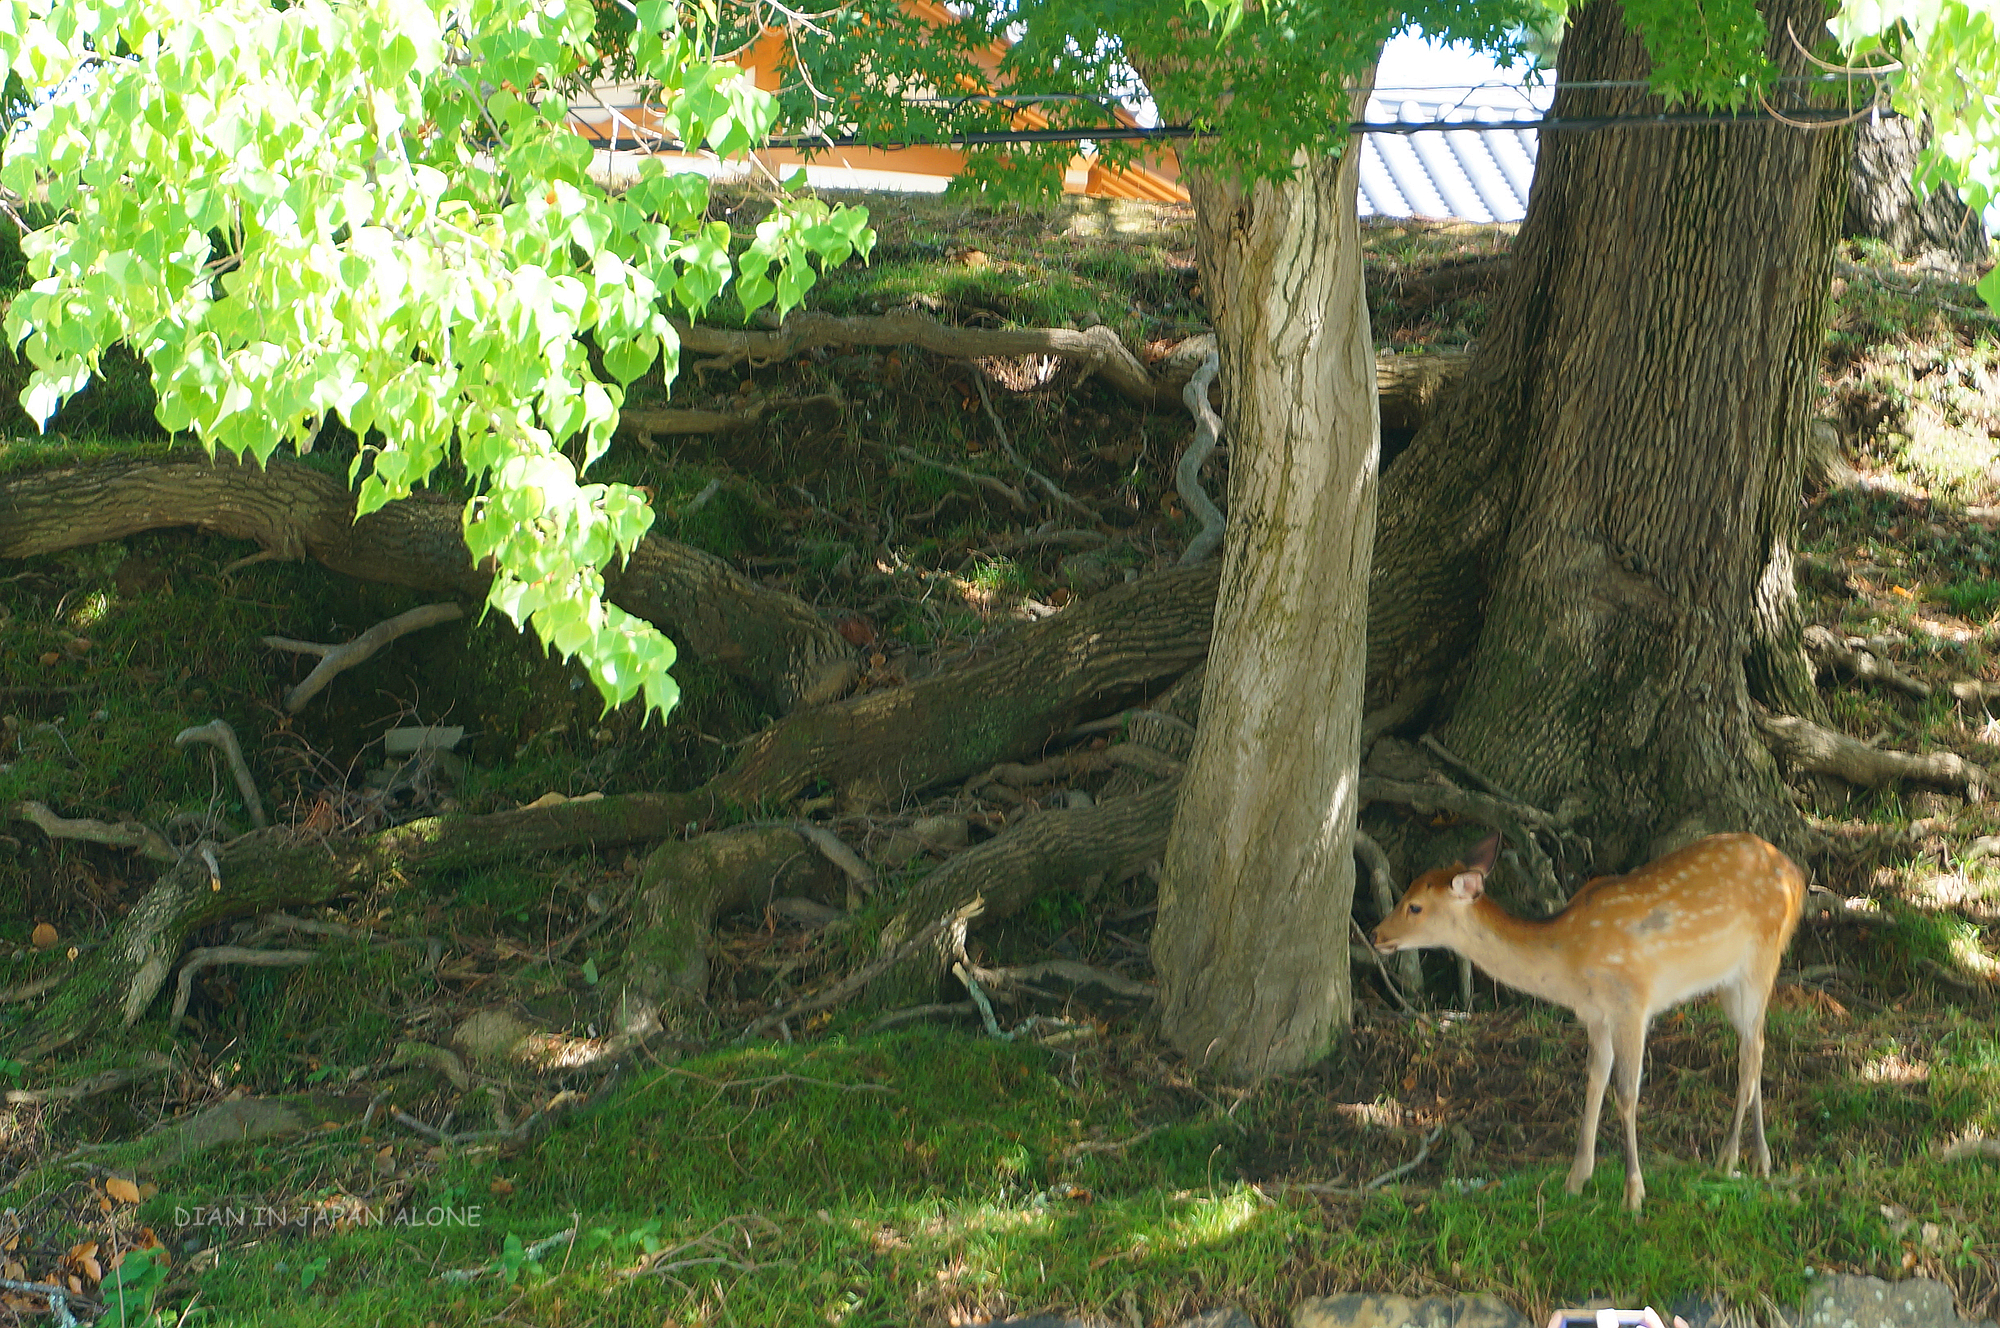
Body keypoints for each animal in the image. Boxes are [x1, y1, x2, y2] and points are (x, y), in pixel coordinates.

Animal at [1376, 836, 1816, 1208]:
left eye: (1414, 906)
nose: (1378, 934)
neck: (1569, 963)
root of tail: (1797, 877)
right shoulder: (1594, 1014)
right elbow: (1594, 1079)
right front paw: (1575, 1179)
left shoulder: (1631, 1002)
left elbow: (1626, 1093)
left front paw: (1633, 1193)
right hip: (1728, 981)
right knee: (1755, 1047)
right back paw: (1760, 1160)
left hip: (1761, 959)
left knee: (1750, 1055)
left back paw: (1728, 1158)